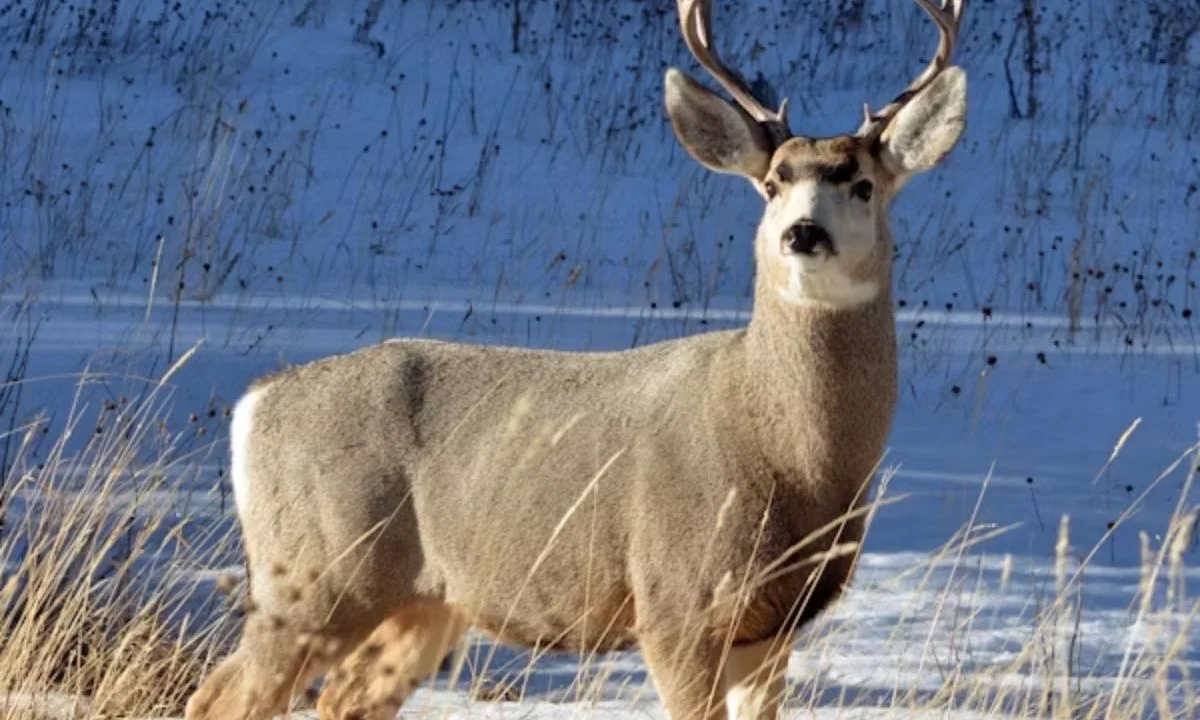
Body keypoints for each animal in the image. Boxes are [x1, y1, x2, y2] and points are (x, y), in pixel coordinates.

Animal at [185, 0, 967, 718]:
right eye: (773, 182)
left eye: (862, 184)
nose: (803, 233)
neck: (791, 460)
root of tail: (255, 404)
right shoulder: (673, 599)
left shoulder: (774, 626)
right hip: (317, 573)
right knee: (222, 697)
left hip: (427, 599)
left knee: (343, 698)